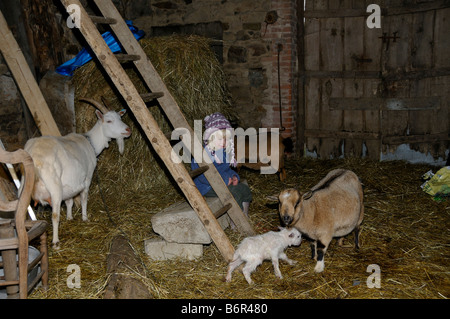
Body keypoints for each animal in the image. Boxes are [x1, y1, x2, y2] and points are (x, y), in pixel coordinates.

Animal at [23, 99, 131, 249]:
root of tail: (34, 155)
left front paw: (70, 217)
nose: (128, 130)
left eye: (120, 118)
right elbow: (84, 198)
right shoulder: (87, 177)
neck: (91, 143)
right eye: (109, 121)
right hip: (54, 186)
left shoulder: (69, 183)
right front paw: (85, 218)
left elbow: (69, 201)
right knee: (55, 215)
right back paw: (56, 242)